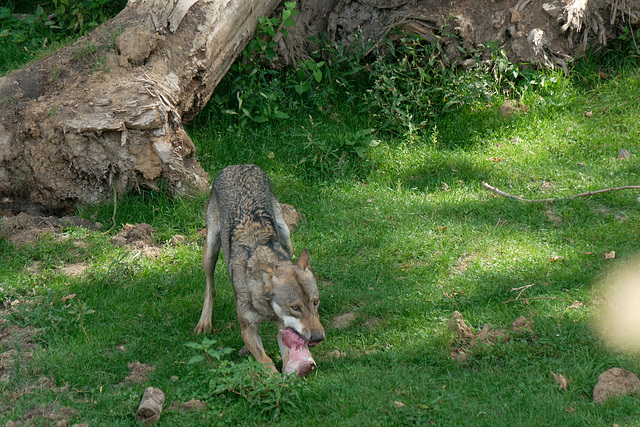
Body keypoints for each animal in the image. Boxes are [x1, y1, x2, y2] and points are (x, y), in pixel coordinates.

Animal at [194, 164, 324, 374]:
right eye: (295, 307)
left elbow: (284, 356)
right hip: (210, 249)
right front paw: (274, 379)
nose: (319, 337)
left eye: (315, 302)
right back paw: (204, 322)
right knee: (209, 288)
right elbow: (265, 360)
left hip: (286, 236)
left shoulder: (283, 326)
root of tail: (239, 165)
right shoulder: (247, 328)